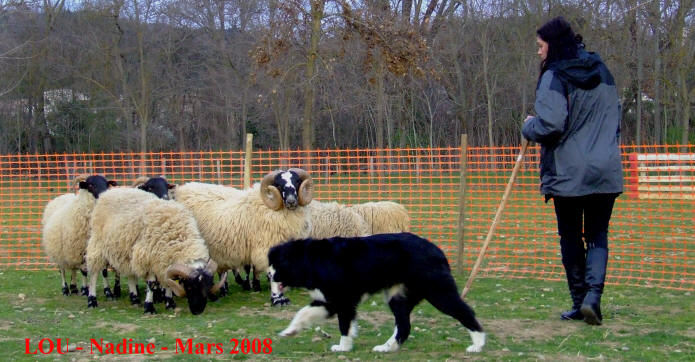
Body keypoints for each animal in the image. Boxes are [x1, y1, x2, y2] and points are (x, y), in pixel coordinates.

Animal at [85, 187, 224, 314]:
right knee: (94, 273)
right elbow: (151, 284)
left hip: (127, 251)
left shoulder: (163, 261)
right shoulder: (149, 258)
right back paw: (92, 300)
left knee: (130, 274)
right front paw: (149, 307)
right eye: (189, 287)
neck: (179, 236)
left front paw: (170, 303)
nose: (198, 311)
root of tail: (108, 192)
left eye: (208, 286)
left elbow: (168, 281)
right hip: (98, 245)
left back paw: (135, 299)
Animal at [173, 168, 314, 304]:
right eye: (278, 185)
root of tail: (182, 189)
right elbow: (271, 273)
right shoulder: (266, 247)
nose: (291, 201)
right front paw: (277, 298)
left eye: (297, 182)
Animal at [270, 232, 486, 354]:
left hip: (438, 292)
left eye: (276, 264)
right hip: (397, 296)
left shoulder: (343, 300)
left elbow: (344, 325)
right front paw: (290, 331)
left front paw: (343, 347)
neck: (311, 259)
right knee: (404, 325)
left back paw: (477, 344)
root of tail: (438, 251)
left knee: (465, 312)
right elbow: (303, 313)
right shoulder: (328, 300)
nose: (270, 275)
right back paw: (387, 347)